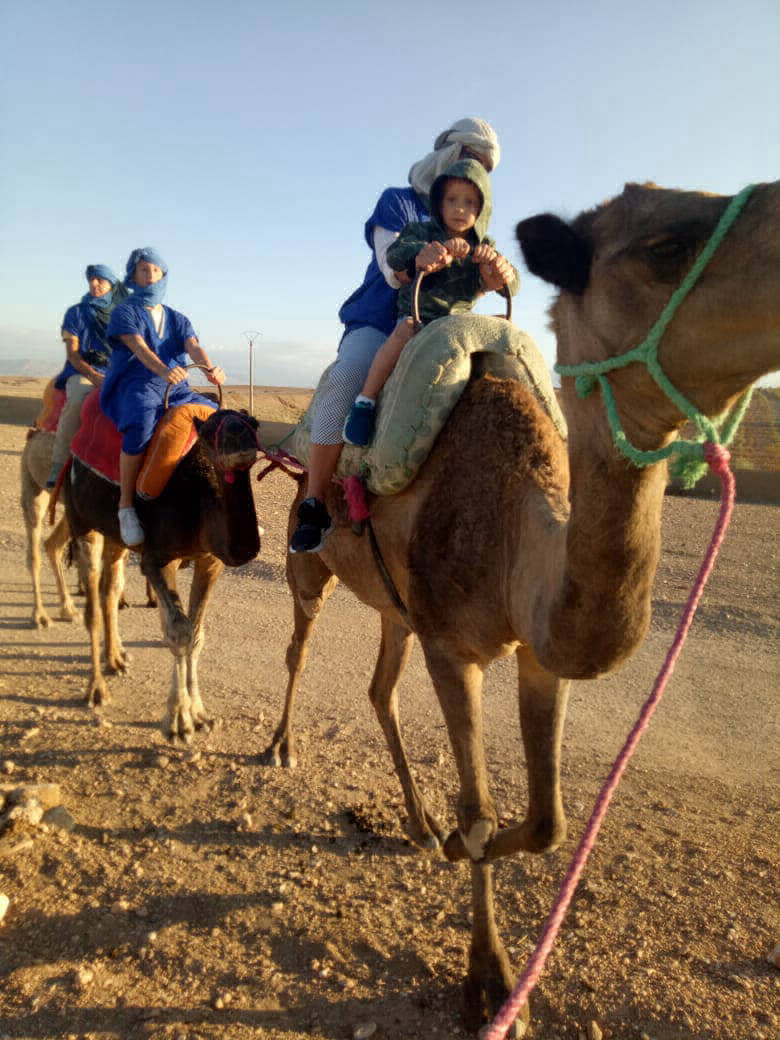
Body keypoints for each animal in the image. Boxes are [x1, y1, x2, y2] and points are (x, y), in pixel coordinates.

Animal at [63, 406, 262, 739]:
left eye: (253, 424)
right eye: (209, 433)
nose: (240, 439)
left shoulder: (210, 560)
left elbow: (196, 633)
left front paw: (201, 714)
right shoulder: (158, 559)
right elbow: (179, 632)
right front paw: (179, 720)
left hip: (115, 537)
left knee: (109, 591)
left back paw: (115, 660)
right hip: (81, 521)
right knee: (91, 604)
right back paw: (96, 690)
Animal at [260, 180, 780, 1032]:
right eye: (665, 245)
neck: (513, 518)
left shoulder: (536, 652)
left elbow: (548, 823)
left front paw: (452, 844)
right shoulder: (454, 648)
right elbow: (479, 810)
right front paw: (492, 980)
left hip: (397, 607)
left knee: (380, 687)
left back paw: (415, 823)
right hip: (314, 564)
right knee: (299, 643)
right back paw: (281, 746)